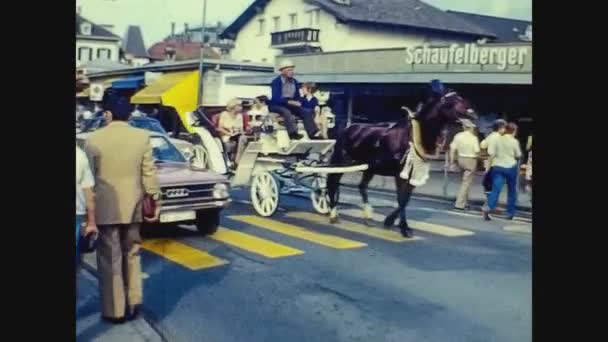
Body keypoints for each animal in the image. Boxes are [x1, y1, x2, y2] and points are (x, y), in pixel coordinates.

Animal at [328, 89, 470, 236]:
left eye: (462, 99)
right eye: (451, 103)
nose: (471, 114)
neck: (412, 138)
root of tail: (346, 129)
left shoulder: (413, 175)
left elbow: (406, 199)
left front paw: (390, 221)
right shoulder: (400, 174)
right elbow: (401, 199)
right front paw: (404, 227)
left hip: (369, 168)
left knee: (362, 187)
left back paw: (368, 216)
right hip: (341, 162)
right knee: (333, 184)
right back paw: (333, 214)